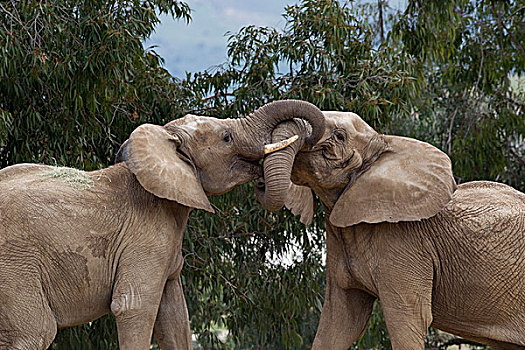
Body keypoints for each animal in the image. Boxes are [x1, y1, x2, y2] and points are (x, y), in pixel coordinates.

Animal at [0, 100, 326, 348]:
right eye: (226, 138)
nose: (261, 181)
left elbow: (175, 317)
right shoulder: (144, 239)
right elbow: (135, 307)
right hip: (16, 267)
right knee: (36, 332)